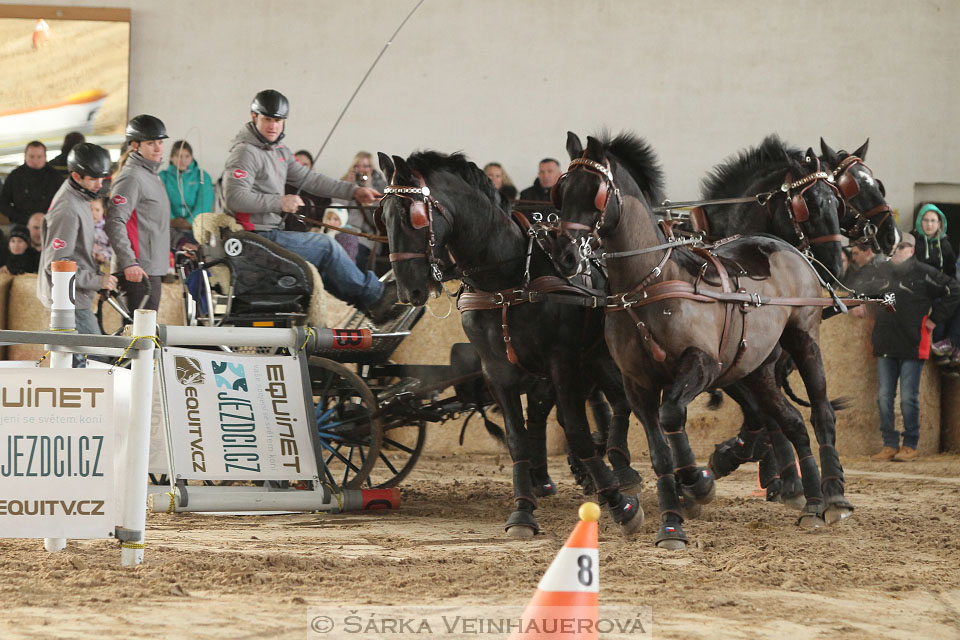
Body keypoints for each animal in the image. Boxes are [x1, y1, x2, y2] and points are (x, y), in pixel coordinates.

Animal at [376, 149, 644, 536]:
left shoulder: (561, 362)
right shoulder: (497, 370)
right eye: (381, 216)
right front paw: (523, 509)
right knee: (606, 404)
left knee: (627, 403)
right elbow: (518, 437)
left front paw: (618, 503)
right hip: (589, 360)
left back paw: (633, 474)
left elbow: (577, 428)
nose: (408, 291)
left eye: (410, 215)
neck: (507, 278)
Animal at [548, 131, 856, 552]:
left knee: (821, 413)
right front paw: (672, 522)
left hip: (803, 341)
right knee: (791, 421)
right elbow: (660, 452)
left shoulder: (704, 364)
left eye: (595, 192)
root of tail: (786, 248)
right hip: (758, 368)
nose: (564, 255)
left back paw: (834, 497)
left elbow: (672, 415)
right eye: (562, 191)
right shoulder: (638, 384)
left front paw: (697, 483)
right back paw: (810, 502)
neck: (647, 284)